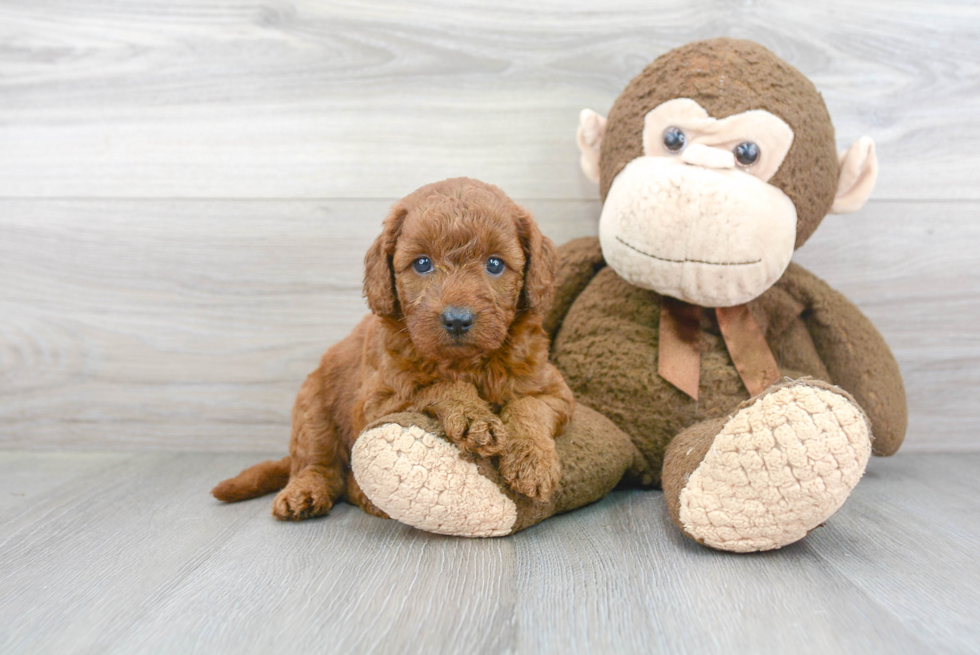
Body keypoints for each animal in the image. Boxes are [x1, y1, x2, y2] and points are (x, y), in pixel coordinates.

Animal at [211, 177, 572, 520]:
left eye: (495, 265)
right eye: (422, 263)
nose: (457, 320)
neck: (465, 363)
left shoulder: (554, 390)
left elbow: (528, 407)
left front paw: (533, 461)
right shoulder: (375, 403)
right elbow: (435, 386)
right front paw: (474, 417)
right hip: (311, 407)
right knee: (319, 464)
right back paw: (306, 491)